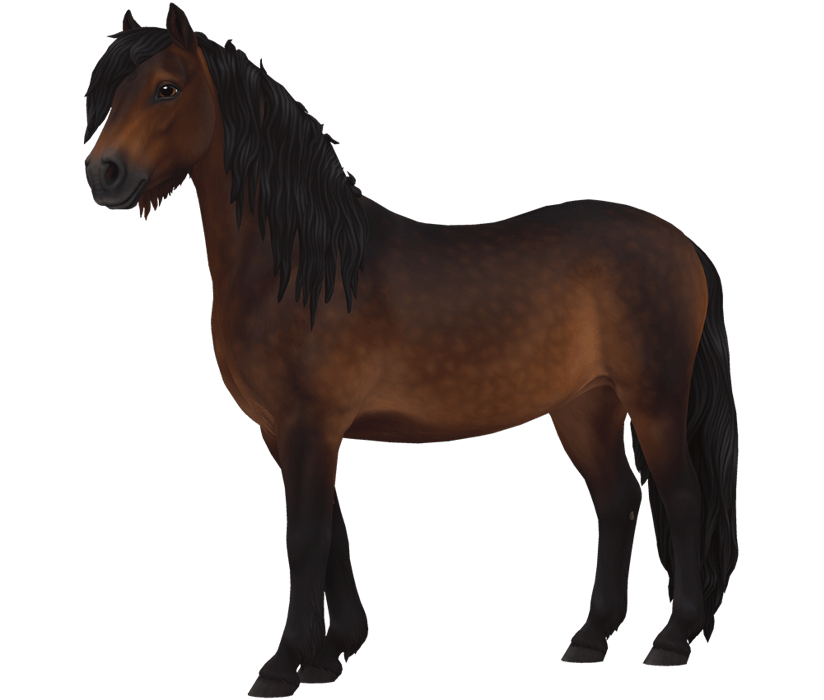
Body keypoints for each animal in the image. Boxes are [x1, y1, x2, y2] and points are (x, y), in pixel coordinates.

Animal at [82, 4, 738, 697]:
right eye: (112, 94)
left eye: (167, 88)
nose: (104, 173)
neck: (304, 270)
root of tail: (682, 244)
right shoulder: (285, 432)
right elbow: (335, 535)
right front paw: (331, 654)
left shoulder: (311, 425)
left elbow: (305, 537)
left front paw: (283, 664)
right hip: (585, 407)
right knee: (617, 501)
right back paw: (589, 638)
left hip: (655, 400)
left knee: (682, 498)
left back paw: (672, 639)